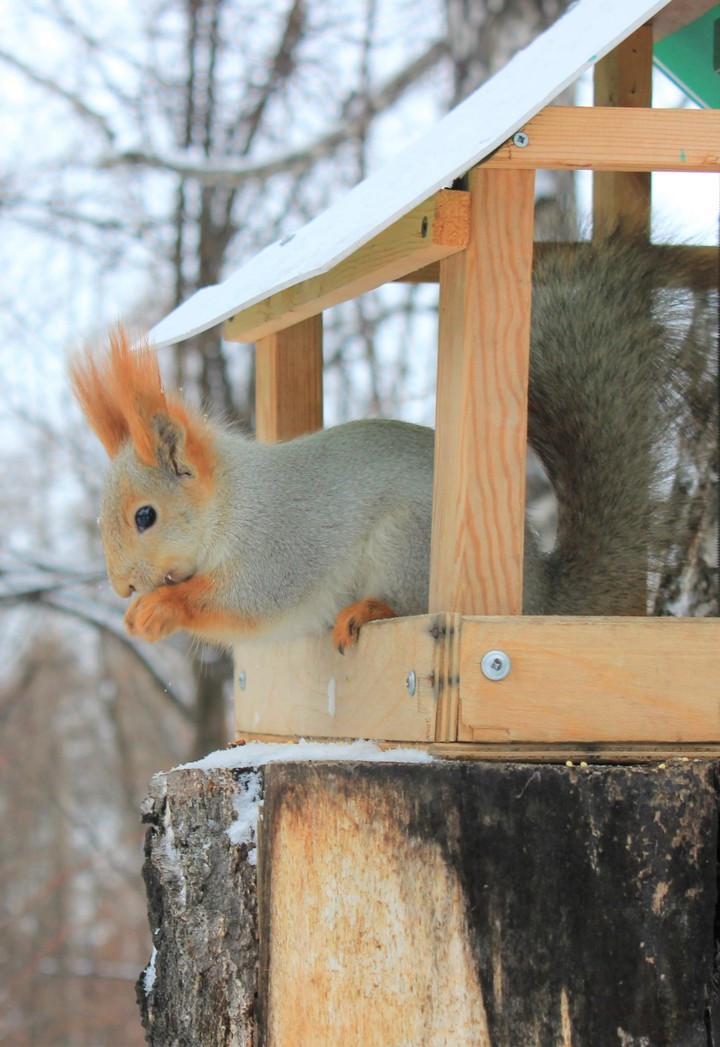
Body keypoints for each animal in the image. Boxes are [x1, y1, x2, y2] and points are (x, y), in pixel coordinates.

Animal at [69, 237, 715, 652]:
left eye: (146, 516)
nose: (122, 586)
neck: (233, 504)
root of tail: (538, 600)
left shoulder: (282, 543)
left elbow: (254, 600)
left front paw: (159, 609)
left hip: (406, 544)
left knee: (405, 603)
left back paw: (369, 611)